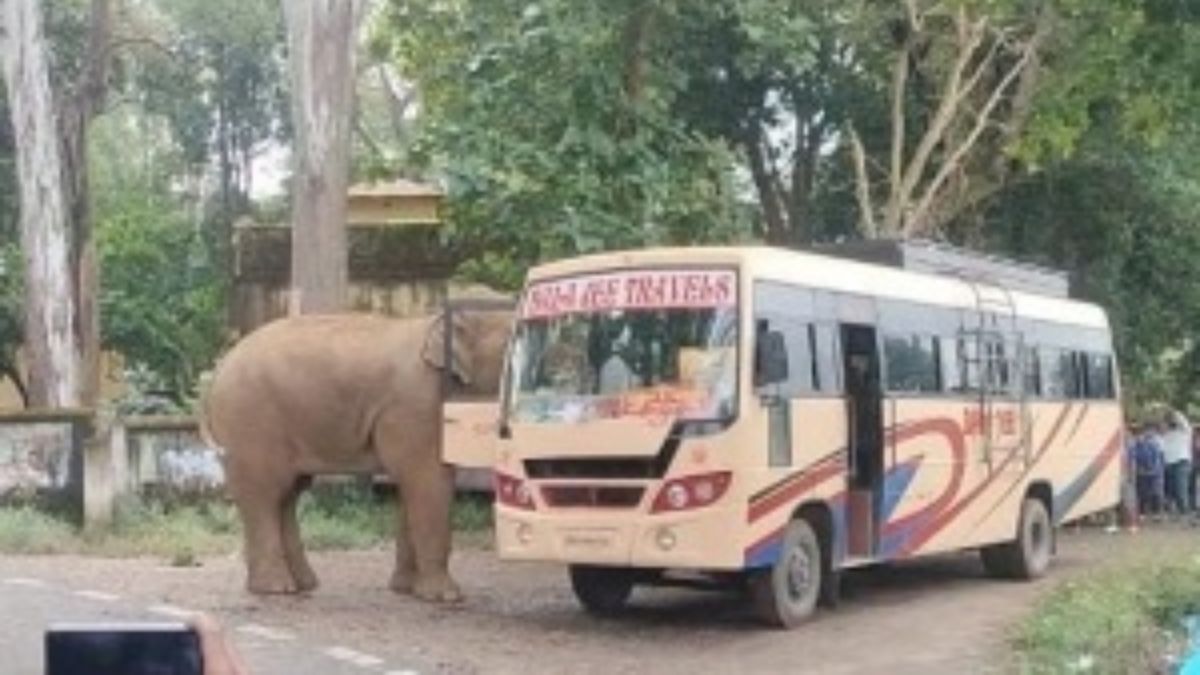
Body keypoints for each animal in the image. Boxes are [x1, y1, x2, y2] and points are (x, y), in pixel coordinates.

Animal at [201, 305, 513, 602]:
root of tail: (218, 370)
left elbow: (412, 486)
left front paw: (405, 589)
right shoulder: (416, 405)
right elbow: (428, 481)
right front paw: (446, 596)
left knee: (287, 495)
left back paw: (300, 585)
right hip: (250, 423)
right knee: (264, 494)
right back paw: (276, 589)